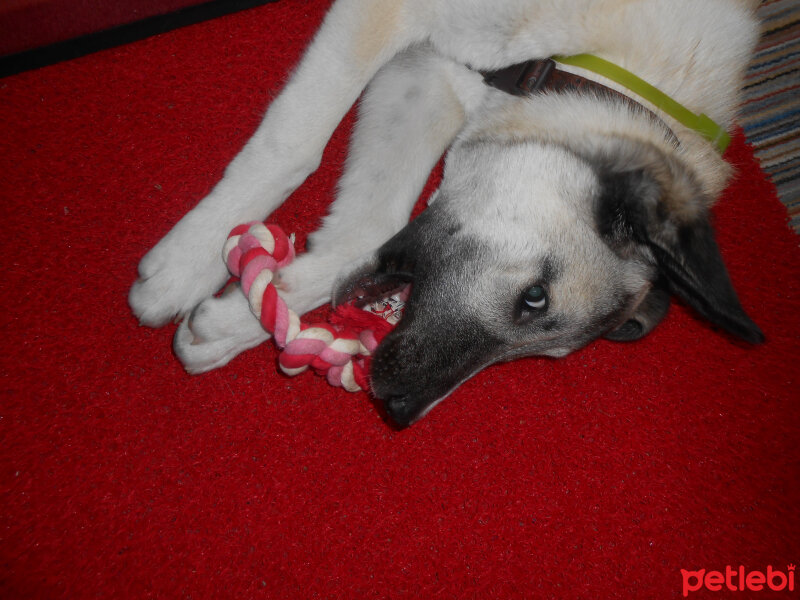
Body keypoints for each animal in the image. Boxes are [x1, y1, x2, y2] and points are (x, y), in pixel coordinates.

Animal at [130, 0, 764, 426]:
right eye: (535, 297)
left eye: (546, 353)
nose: (401, 410)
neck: (586, 65)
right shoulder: (391, 23)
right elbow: (297, 143)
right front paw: (184, 269)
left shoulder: (426, 77)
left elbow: (371, 225)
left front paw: (237, 321)